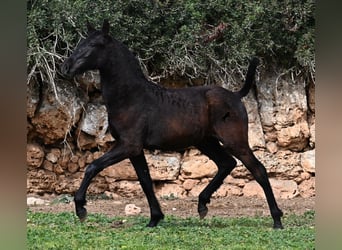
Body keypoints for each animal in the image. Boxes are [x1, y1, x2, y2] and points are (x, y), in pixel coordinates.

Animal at [60, 20, 284, 229]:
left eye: (94, 44)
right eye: (80, 42)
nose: (66, 67)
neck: (131, 97)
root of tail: (236, 95)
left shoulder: (129, 145)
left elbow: (93, 166)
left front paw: (81, 209)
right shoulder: (135, 150)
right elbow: (145, 181)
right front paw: (154, 219)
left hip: (234, 141)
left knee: (258, 169)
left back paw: (277, 220)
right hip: (206, 142)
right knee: (226, 163)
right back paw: (202, 205)